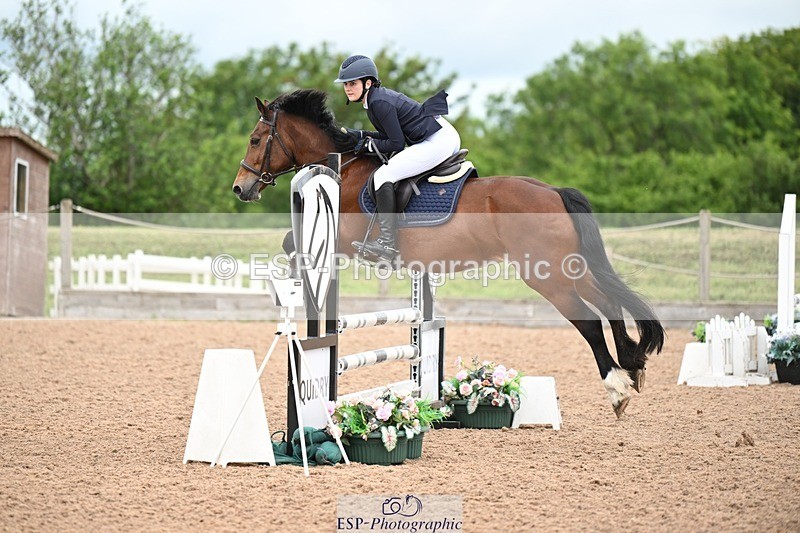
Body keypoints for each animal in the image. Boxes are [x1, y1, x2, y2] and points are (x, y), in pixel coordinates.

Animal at [231, 89, 665, 418]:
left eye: (254, 140)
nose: (240, 188)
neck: (345, 168)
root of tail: (554, 192)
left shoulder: (342, 238)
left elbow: (291, 245)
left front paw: (286, 288)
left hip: (547, 275)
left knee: (589, 321)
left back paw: (617, 388)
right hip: (570, 267)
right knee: (609, 302)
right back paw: (633, 365)